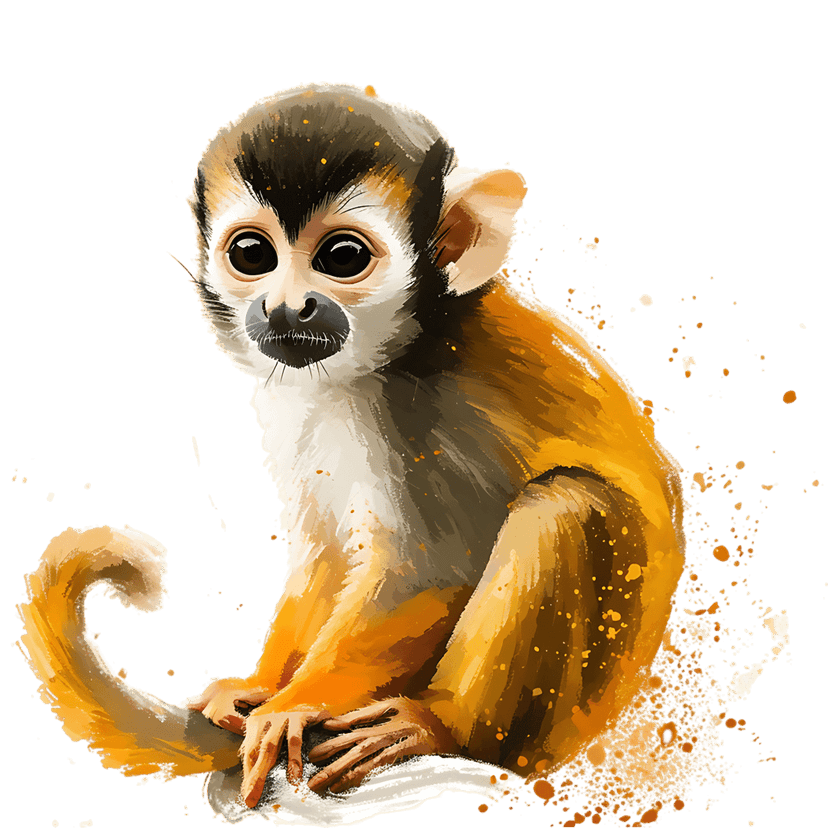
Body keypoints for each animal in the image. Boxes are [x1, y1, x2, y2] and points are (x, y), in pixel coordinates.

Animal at [17, 82, 686, 812]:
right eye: (252, 255)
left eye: (342, 259)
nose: (287, 308)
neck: (385, 356)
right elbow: (327, 551)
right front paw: (258, 690)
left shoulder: (419, 412)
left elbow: (434, 569)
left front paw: (292, 706)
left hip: (569, 718)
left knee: (566, 503)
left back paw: (442, 726)